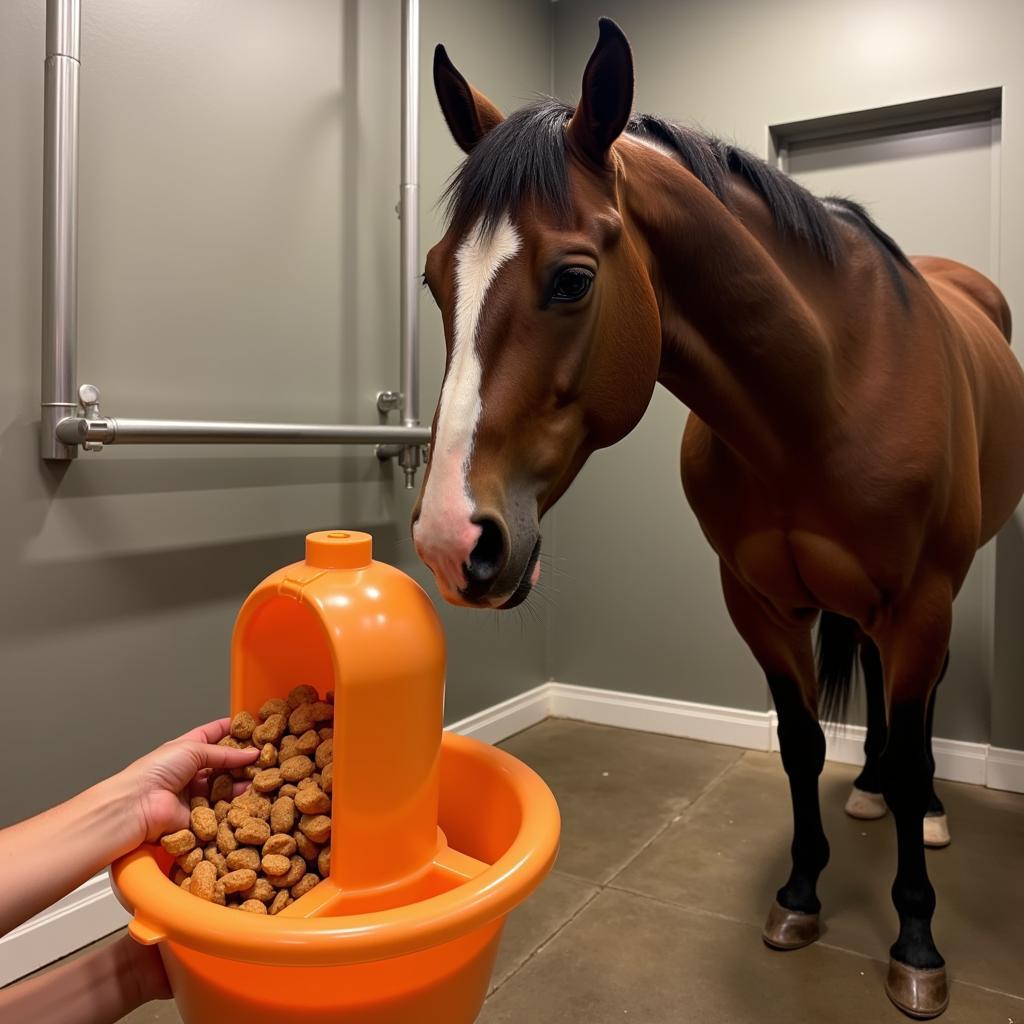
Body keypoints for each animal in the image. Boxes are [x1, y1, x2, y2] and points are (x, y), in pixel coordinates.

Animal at [407, 19, 1024, 1019]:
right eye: (433, 281)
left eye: (572, 280)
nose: (449, 539)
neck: (829, 388)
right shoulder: (758, 602)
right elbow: (800, 743)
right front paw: (801, 894)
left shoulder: (921, 599)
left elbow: (913, 744)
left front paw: (917, 942)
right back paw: (869, 787)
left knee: (920, 708)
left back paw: (921, 809)